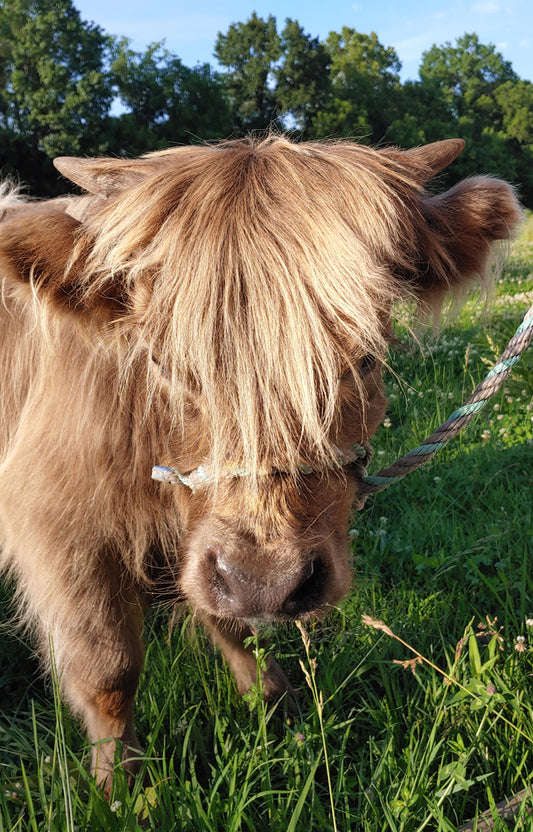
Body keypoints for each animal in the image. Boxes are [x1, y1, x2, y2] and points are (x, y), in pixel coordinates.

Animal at [0, 136, 522, 792]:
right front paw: (122, 788)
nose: (267, 581)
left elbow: (236, 624)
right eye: (162, 361)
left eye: (367, 357)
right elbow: (108, 668)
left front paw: (277, 708)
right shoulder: (56, 527)